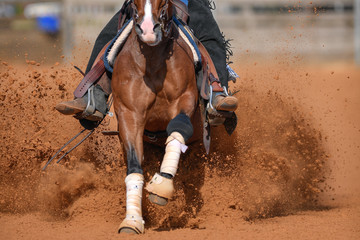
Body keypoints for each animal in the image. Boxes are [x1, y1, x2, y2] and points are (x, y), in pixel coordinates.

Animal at [112, 0, 200, 234]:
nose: (149, 30)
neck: (152, 61)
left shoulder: (185, 99)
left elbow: (178, 131)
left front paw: (163, 185)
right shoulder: (129, 114)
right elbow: (134, 166)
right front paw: (132, 219)